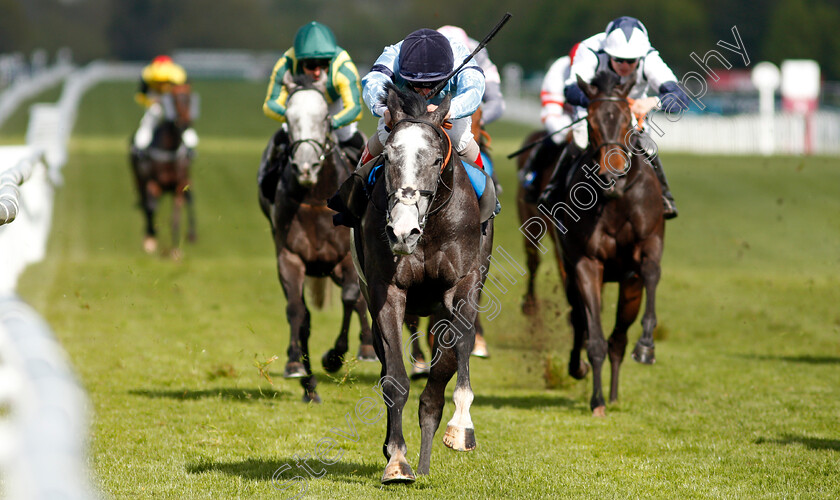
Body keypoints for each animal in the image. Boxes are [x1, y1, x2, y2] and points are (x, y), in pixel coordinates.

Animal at [130, 83, 197, 258]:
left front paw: (175, 250)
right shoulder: (152, 184)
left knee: (190, 199)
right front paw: (150, 241)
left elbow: (176, 217)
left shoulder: (179, 185)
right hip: (139, 180)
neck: (169, 149)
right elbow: (151, 208)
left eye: (189, 98)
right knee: (147, 206)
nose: (185, 123)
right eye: (173, 99)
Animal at [256, 73, 374, 402]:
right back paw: (309, 385)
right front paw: (297, 366)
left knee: (358, 300)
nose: (305, 167)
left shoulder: (345, 258)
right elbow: (298, 311)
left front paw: (334, 357)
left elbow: (351, 298)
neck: (315, 198)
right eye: (288, 117)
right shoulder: (290, 256)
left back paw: (367, 346)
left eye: (323, 118)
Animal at [352, 86, 496, 484]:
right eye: (388, 156)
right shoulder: (386, 292)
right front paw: (397, 461)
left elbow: (456, 357)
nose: (403, 232)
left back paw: (428, 461)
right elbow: (394, 380)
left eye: (433, 160)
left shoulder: (463, 285)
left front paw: (461, 427)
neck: (429, 228)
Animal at [544, 72, 668, 416]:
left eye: (627, 118)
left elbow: (651, 273)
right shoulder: (586, 263)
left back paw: (614, 390)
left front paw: (647, 345)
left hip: (628, 287)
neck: (614, 199)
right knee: (580, 318)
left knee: (618, 338)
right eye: (591, 122)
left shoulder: (648, 244)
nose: (612, 175)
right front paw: (596, 400)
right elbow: (593, 336)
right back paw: (582, 372)